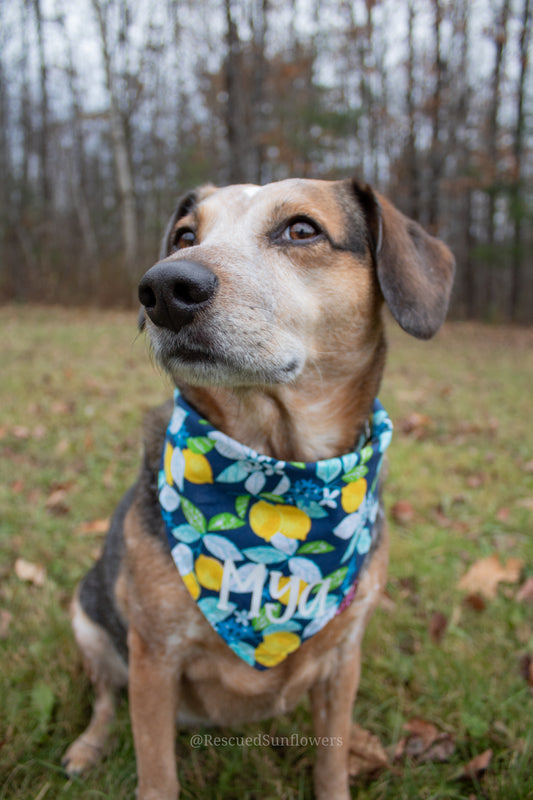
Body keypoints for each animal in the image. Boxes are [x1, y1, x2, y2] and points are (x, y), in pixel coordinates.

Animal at [62, 178, 454, 796]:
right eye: (185, 236)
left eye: (302, 229)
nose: (164, 288)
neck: (275, 468)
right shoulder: (153, 658)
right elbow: (157, 772)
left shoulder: (344, 658)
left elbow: (330, 761)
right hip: (89, 622)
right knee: (104, 699)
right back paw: (88, 747)